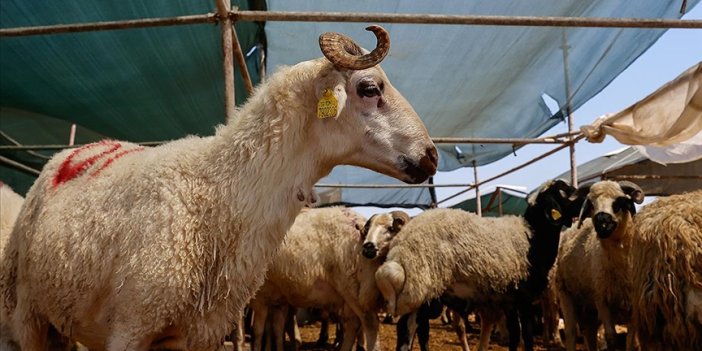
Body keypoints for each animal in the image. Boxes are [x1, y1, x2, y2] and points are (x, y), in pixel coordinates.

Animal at [250, 208, 410, 351]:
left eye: (391, 228)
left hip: (353, 287)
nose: (370, 247)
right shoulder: (278, 299)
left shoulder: (259, 296)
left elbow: (258, 331)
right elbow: (276, 329)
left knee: (369, 322)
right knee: (353, 323)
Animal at [380, 180, 588, 351]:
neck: (533, 237)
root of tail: (399, 245)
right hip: (420, 290)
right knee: (408, 331)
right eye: (565, 191)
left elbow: (515, 336)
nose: (587, 194)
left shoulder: (508, 300)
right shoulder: (524, 298)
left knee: (408, 329)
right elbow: (527, 337)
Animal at [560, 182, 648, 351]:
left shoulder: (633, 304)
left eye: (618, 202)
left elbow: (631, 341)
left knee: (590, 332)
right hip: (565, 293)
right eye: (592, 204)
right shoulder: (601, 299)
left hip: (588, 308)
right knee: (571, 332)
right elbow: (611, 337)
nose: (602, 221)